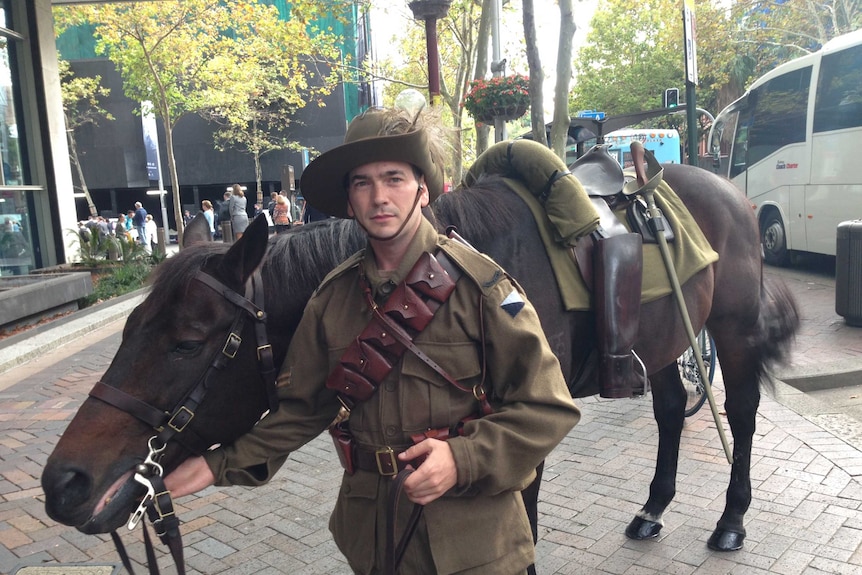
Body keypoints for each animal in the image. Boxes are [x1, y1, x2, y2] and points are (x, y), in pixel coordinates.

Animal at [40, 163, 796, 560]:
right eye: (128, 328)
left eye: (187, 341)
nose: (64, 481)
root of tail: (729, 190)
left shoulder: (516, 434)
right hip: (667, 344)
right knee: (670, 410)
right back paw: (653, 506)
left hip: (729, 330)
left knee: (742, 414)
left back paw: (731, 519)